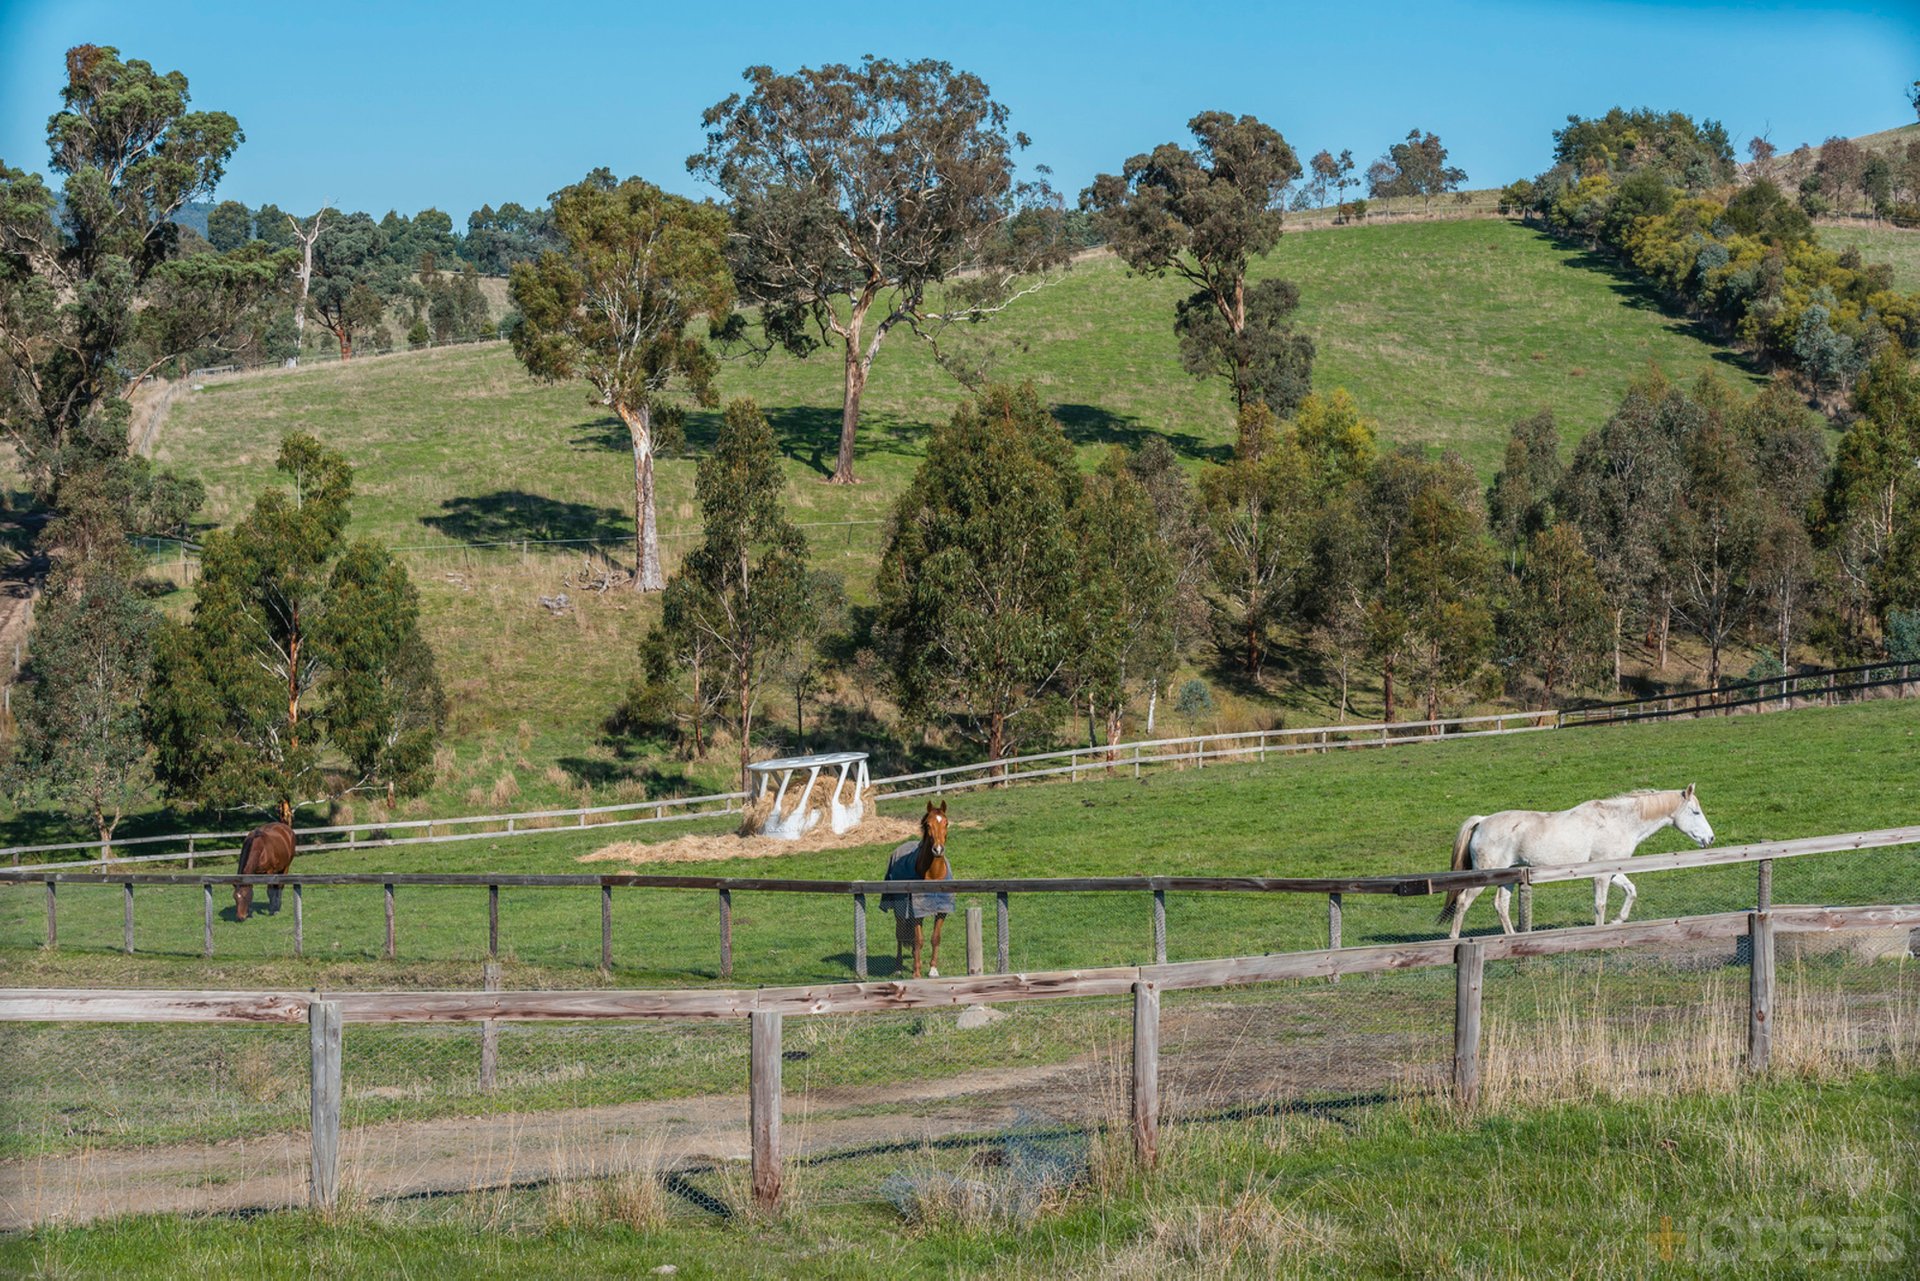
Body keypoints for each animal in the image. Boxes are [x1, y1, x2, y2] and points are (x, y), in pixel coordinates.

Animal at [879, 806, 952, 975]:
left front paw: (933, 969)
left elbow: (935, 938)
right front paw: (916, 972)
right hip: (900, 909)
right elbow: (918, 939)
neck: (933, 876)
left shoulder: (942, 911)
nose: (938, 849)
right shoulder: (916, 911)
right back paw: (898, 968)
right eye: (928, 825)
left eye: (946, 823)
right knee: (900, 935)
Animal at [1443, 783, 1712, 941]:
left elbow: (1631, 891)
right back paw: (1453, 939)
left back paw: (1511, 939)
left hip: (1507, 876)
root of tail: (1482, 821)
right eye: (1695, 812)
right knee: (1463, 901)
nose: (1710, 838)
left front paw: (1618, 920)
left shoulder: (1613, 872)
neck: (1617, 822)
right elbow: (1600, 904)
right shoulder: (1601, 875)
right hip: (1483, 877)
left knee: (1501, 905)